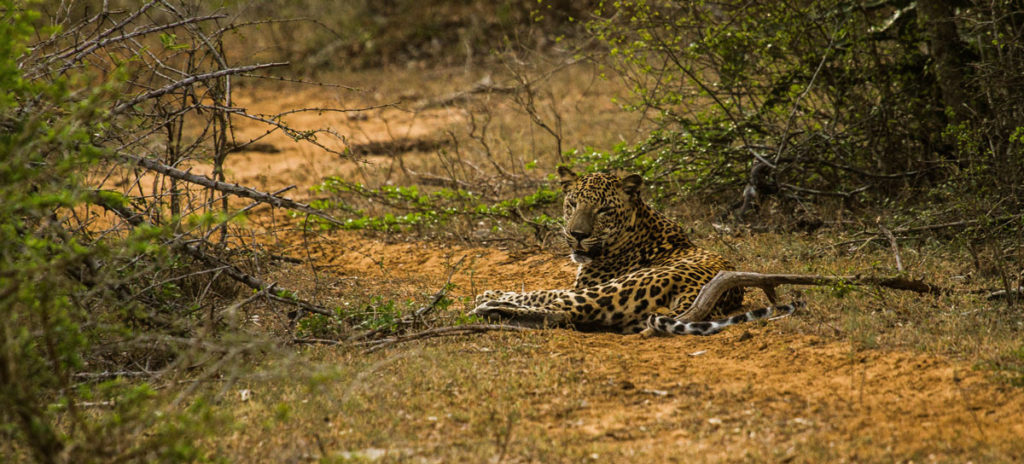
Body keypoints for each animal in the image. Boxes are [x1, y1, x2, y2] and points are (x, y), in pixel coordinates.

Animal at [469, 167, 801, 336]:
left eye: (603, 210)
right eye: (573, 204)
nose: (577, 235)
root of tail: (703, 296)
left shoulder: (587, 283)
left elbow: (540, 292)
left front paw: (489, 294)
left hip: (613, 289)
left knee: (562, 308)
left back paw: (489, 307)